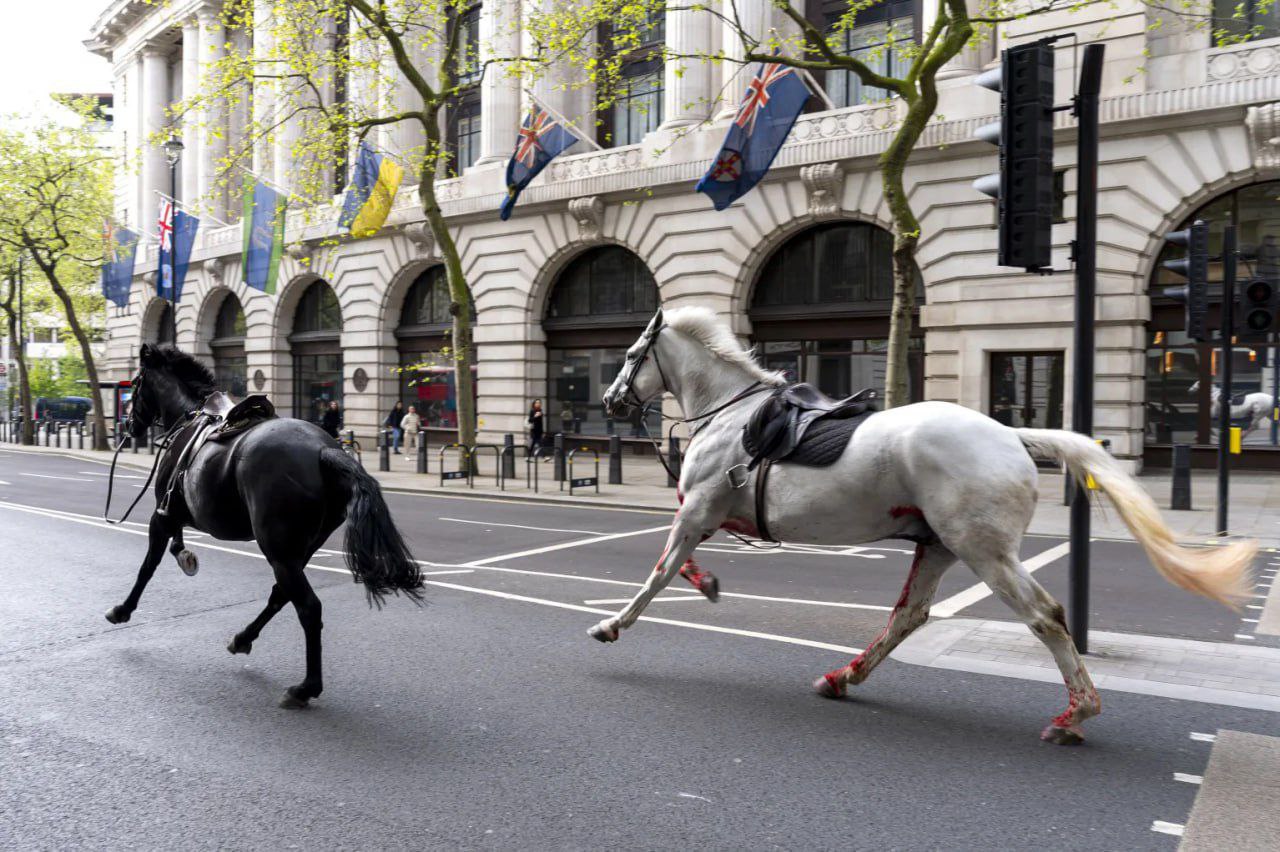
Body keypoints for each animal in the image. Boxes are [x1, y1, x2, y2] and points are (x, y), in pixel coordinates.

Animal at [107, 342, 422, 706]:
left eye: (135, 384)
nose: (128, 426)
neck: (191, 416)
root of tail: (325, 450)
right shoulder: (176, 514)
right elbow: (175, 546)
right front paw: (186, 557)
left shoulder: (163, 514)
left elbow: (147, 566)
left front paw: (123, 609)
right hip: (298, 550)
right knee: (281, 595)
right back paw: (243, 639)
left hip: (278, 549)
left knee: (308, 608)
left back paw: (305, 687)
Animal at [593, 307, 1254, 741]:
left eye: (629, 355)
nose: (609, 400)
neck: (731, 414)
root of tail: (1013, 435)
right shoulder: (705, 513)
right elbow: (681, 565)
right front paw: (707, 584)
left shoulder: (698, 508)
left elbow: (659, 572)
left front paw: (612, 625)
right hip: (938, 545)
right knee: (909, 616)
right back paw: (843, 676)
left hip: (983, 550)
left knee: (1045, 616)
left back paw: (1076, 714)